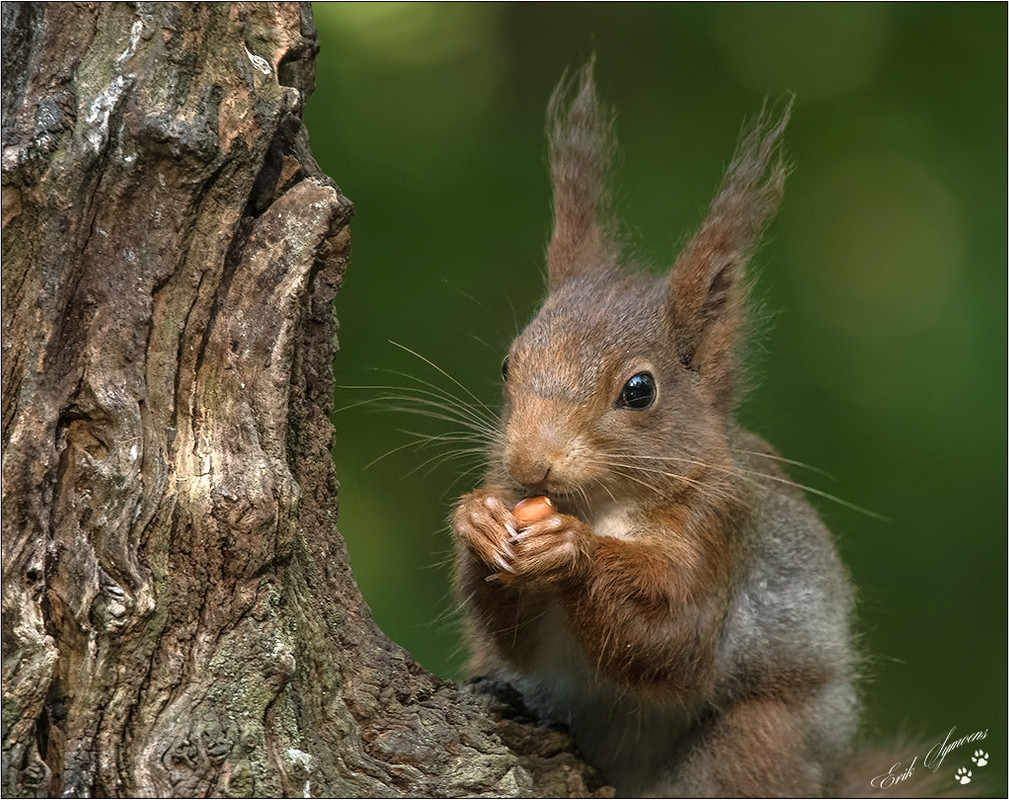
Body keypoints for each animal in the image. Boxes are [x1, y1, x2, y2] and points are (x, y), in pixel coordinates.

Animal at [450, 60, 859, 790]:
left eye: (639, 390)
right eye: (507, 364)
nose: (529, 466)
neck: (601, 505)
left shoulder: (719, 526)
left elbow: (671, 637)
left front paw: (570, 549)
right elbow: (517, 643)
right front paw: (479, 521)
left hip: (762, 740)